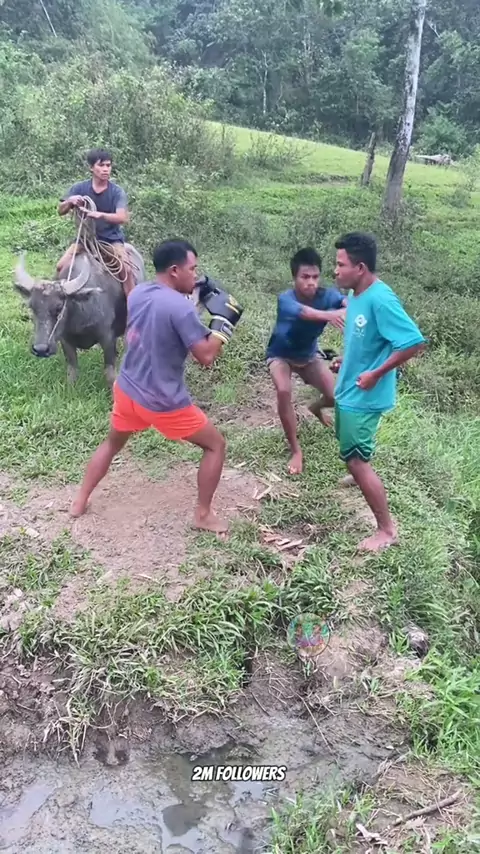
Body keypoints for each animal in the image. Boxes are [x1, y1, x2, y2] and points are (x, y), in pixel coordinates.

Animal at [14, 245, 146, 387]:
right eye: (32, 307)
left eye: (59, 307)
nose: (40, 349)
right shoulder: (65, 340)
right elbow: (72, 370)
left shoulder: (108, 338)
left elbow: (110, 373)